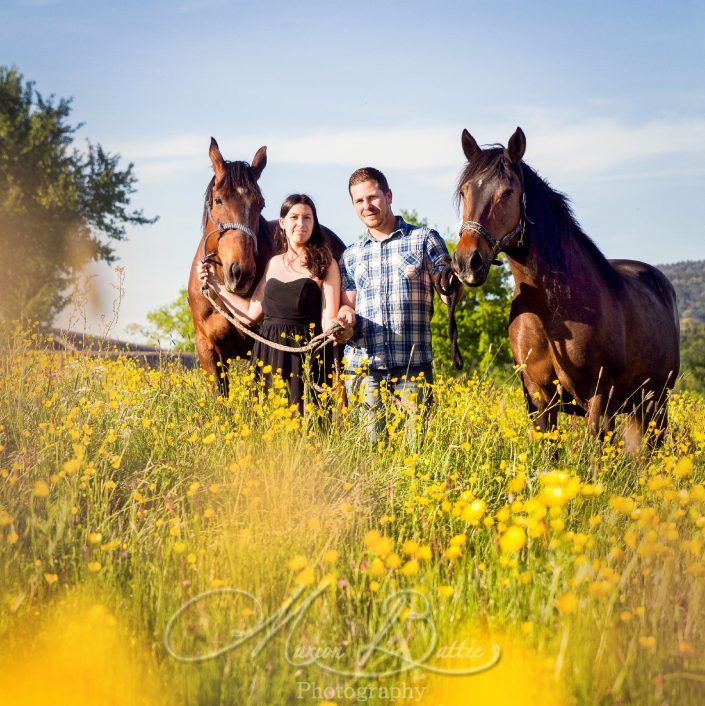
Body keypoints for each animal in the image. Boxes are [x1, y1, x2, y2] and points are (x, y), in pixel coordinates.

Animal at [452, 126, 676, 446]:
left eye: (507, 192)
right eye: (465, 191)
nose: (466, 262)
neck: (552, 309)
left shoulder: (599, 400)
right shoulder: (539, 398)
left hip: (656, 404)